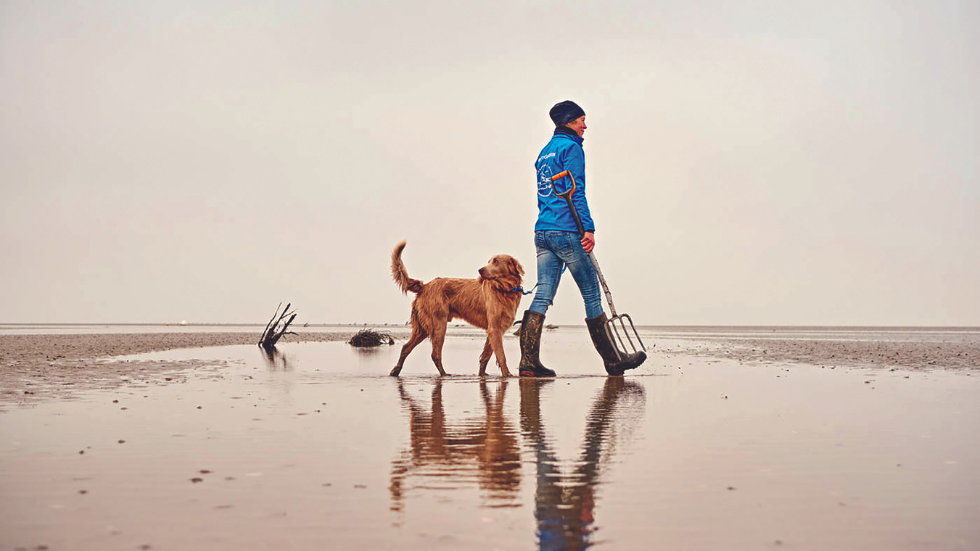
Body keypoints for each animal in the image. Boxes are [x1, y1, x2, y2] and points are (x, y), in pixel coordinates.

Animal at [390, 243, 528, 380]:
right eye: (489, 261)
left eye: (495, 261)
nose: (480, 270)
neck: (505, 290)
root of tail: (424, 286)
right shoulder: (494, 328)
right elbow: (501, 355)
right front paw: (507, 375)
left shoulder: (494, 329)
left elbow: (485, 356)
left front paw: (482, 375)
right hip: (438, 324)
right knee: (435, 354)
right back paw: (444, 374)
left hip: (423, 327)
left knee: (406, 347)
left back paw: (396, 370)